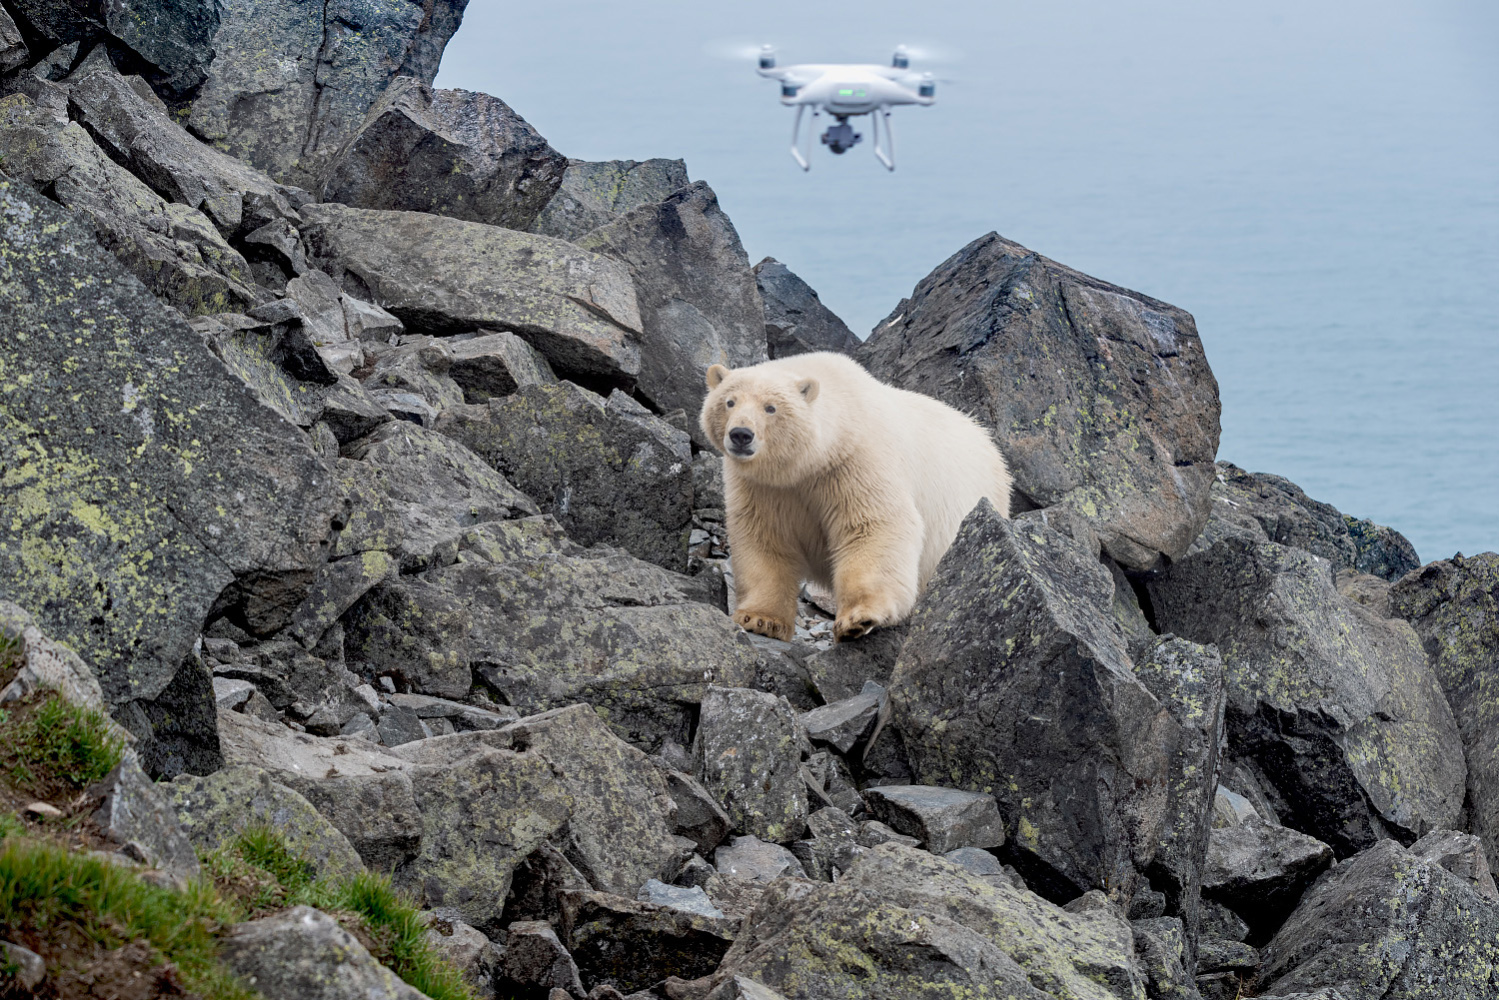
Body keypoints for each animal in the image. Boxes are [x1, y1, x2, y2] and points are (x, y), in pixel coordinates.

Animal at [698, 355, 1007, 644]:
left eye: (770, 407)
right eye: (729, 402)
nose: (741, 434)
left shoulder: (855, 463)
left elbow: (873, 525)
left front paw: (858, 619)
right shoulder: (764, 488)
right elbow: (765, 538)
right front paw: (761, 619)